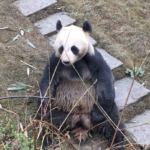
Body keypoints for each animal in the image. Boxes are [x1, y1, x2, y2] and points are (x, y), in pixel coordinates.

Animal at [37, 20, 124, 150]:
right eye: (61, 48)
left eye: (74, 48)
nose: (66, 61)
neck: (74, 63)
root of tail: (80, 120)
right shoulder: (55, 60)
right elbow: (48, 80)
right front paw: (43, 105)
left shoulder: (93, 58)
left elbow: (105, 80)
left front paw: (97, 115)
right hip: (60, 110)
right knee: (49, 122)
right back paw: (49, 140)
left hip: (97, 108)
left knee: (112, 123)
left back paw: (117, 143)